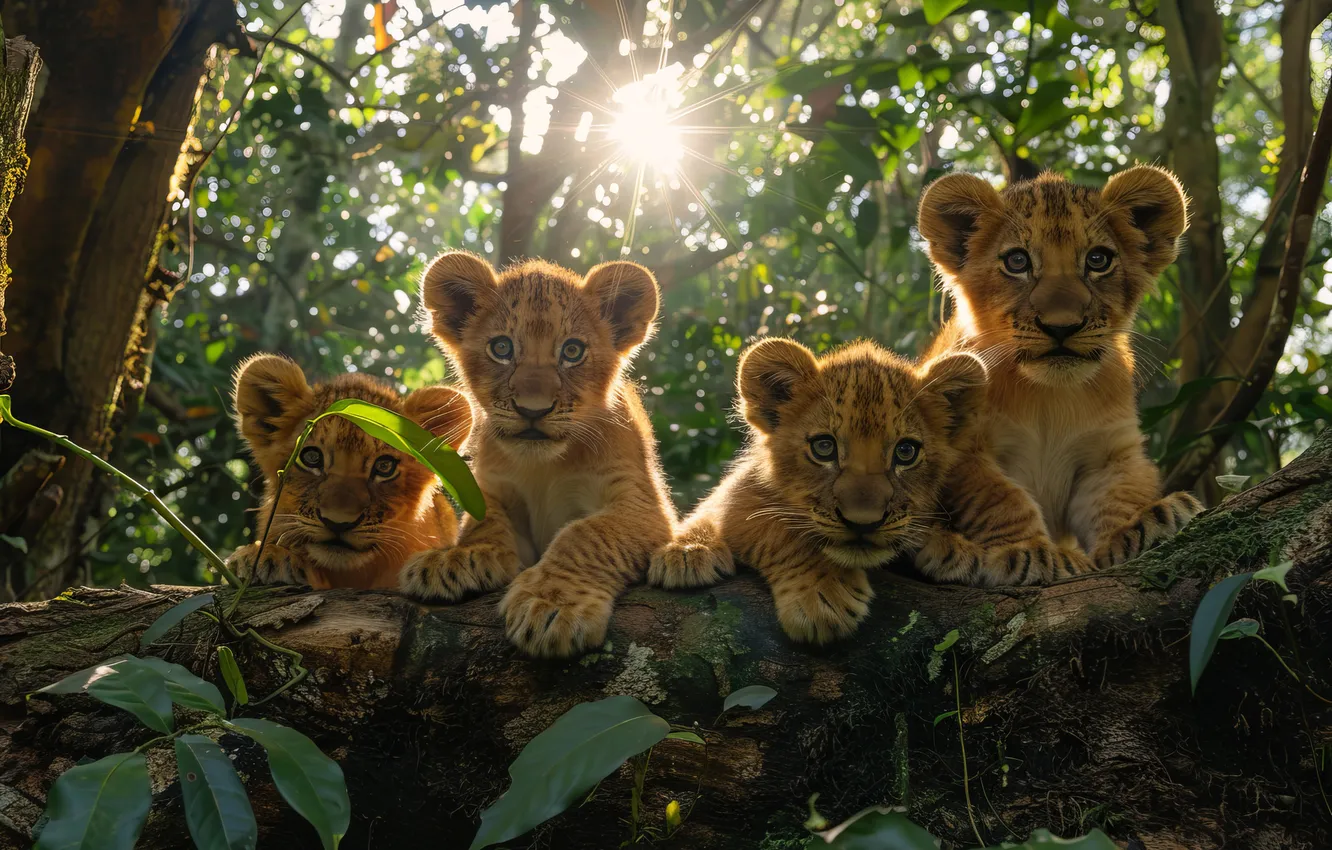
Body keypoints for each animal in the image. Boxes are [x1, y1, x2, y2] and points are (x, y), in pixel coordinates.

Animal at [398, 252, 676, 658]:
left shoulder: (645, 507)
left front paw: (551, 606)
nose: (533, 410)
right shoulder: (495, 491)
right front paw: (453, 558)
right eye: (501, 348)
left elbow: (587, 534)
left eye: (572, 351)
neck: (543, 466)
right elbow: (484, 524)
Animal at [648, 338, 987, 644]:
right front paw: (824, 596)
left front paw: (954, 549)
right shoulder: (740, 499)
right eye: (823, 447)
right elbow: (779, 531)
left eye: (906, 452)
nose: (863, 523)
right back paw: (688, 555)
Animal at [914, 165, 1203, 580]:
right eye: (1017, 262)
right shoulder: (964, 449)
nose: (1062, 326)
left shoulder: (1107, 452)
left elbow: (1117, 495)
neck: (1049, 396)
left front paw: (1144, 524)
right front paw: (1033, 553)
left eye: (1098, 260)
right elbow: (999, 499)